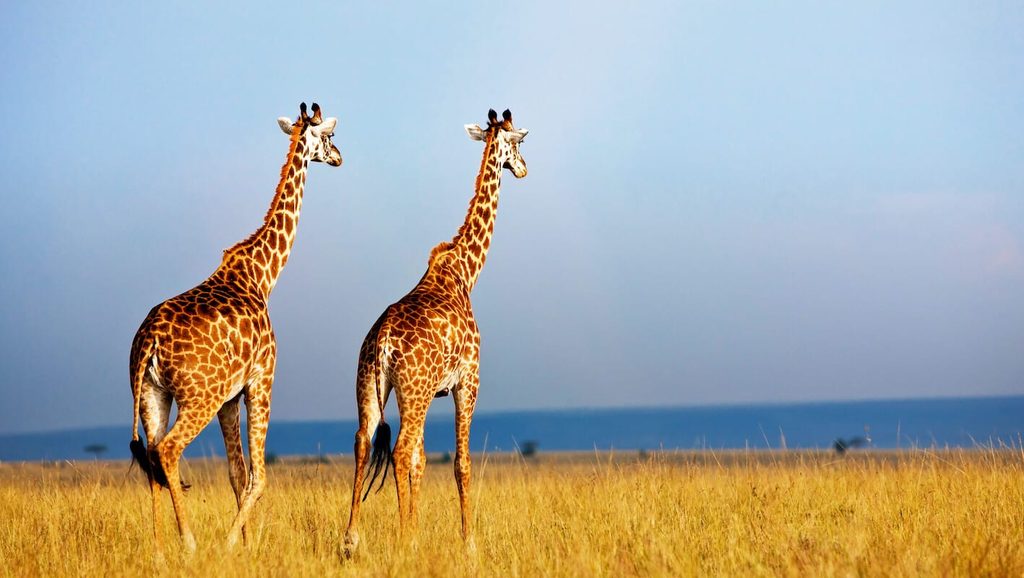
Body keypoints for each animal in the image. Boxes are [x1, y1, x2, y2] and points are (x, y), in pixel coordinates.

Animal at [128, 102, 342, 553]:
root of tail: (148, 341)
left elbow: (237, 475)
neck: (262, 275)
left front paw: (242, 545)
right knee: (168, 451)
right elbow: (258, 478)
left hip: (152, 396)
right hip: (198, 397)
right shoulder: (262, 378)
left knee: (151, 459)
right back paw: (189, 544)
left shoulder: (230, 396)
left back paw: (159, 550)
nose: (339, 157)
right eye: (330, 136)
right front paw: (232, 545)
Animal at [343, 108, 528, 554]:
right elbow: (460, 462)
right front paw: (468, 542)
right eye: (520, 142)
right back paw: (401, 539)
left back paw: (351, 538)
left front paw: (418, 528)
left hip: (372, 384)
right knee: (399, 449)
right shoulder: (468, 381)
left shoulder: (433, 392)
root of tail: (383, 339)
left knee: (364, 442)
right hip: (413, 388)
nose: (524, 169)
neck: (465, 272)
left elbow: (422, 462)